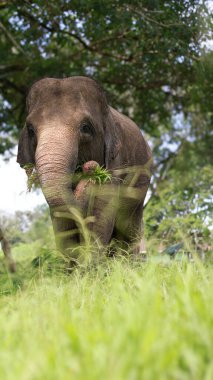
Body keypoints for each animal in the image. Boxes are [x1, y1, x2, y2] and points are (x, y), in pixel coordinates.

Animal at [17, 75, 152, 260]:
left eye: (86, 128)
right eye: (30, 129)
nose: (90, 168)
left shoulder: (116, 162)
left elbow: (101, 213)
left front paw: (91, 266)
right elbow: (61, 217)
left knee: (129, 226)